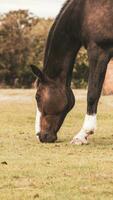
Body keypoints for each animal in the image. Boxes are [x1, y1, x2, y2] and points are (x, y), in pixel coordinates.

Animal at [31, 0, 113, 144]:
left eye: (37, 96)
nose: (40, 135)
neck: (82, 12)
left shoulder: (99, 50)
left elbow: (92, 93)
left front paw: (83, 134)